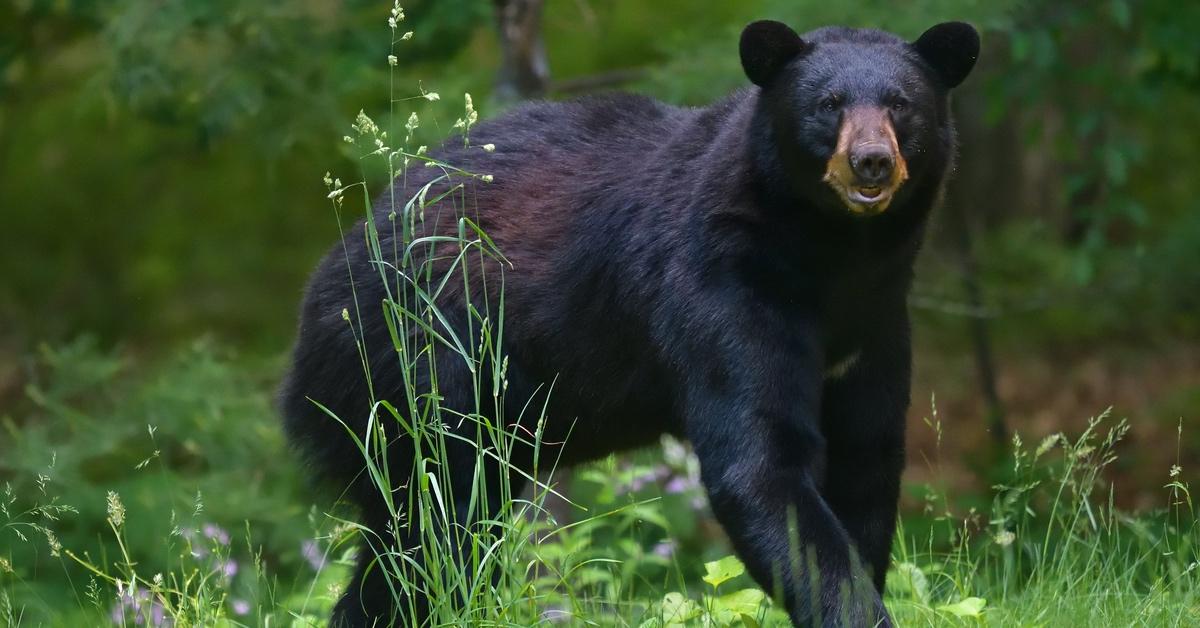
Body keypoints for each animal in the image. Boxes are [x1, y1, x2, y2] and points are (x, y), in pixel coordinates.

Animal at [278, 17, 974, 624]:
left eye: (901, 104)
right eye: (828, 104)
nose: (870, 160)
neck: (833, 256)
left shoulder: (876, 319)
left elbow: (866, 457)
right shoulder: (724, 286)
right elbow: (761, 462)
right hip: (417, 372)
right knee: (433, 527)